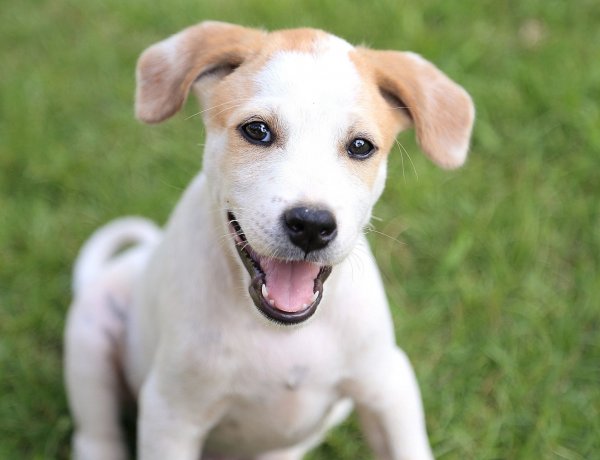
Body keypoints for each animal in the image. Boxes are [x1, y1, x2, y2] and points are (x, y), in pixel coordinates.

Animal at [64, 21, 474, 460]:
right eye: (257, 131)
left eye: (361, 146)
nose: (311, 224)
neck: (281, 334)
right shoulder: (170, 414)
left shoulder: (387, 384)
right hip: (90, 333)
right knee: (96, 433)